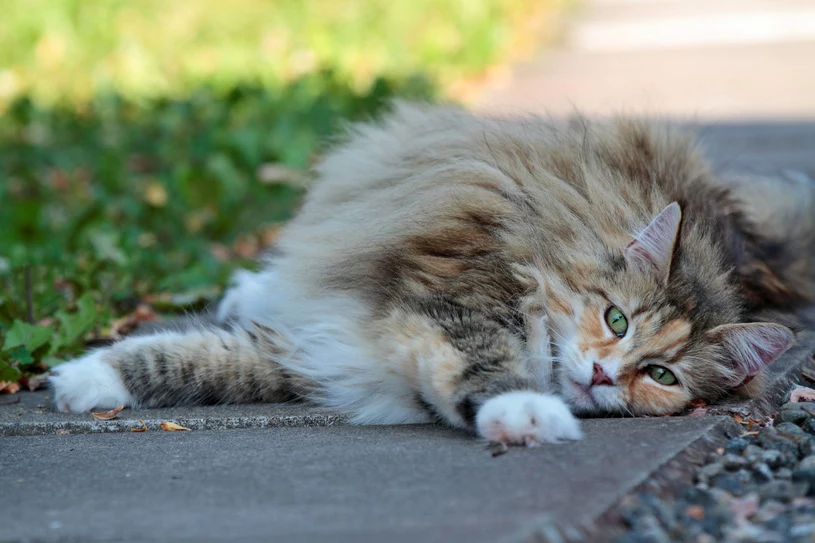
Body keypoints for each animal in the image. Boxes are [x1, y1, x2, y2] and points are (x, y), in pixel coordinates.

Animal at [51, 102, 815, 446]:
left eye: (661, 377)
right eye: (616, 318)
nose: (603, 374)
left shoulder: (346, 346)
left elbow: (211, 361)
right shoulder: (443, 306)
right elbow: (189, 354)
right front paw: (86, 376)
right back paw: (248, 287)